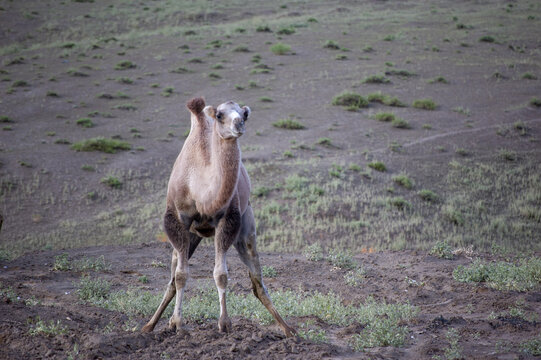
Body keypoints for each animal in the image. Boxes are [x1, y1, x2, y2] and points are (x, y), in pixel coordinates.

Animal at [141, 96, 296, 338]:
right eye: (220, 115)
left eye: (244, 114)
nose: (239, 124)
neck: (200, 187)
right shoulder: (177, 219)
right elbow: (180, 275)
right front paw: (178, 323)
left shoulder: (229, 219)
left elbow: (221, 274)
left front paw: (224, 323)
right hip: (191, 235)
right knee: (173, 277)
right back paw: (151, 325)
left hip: (246, 226)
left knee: (257, 280)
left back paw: (288, 329)